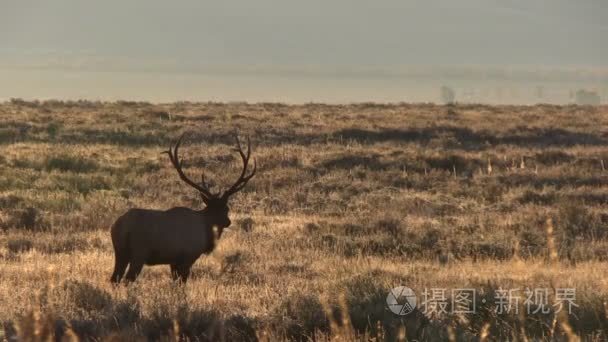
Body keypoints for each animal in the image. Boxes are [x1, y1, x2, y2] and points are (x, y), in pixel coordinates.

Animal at [110, 134, 255, 284]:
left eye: (226, 208)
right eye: (215, 209)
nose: (228, 222)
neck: (205, 230)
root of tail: (120, 226)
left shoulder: (174, 261)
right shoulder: (188, 257)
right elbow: (182, 282)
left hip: (120, 252)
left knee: (115, 278)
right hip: (139, 252)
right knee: (128, 278)